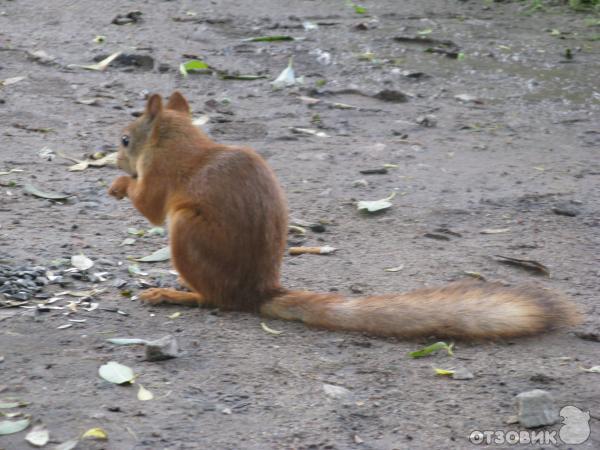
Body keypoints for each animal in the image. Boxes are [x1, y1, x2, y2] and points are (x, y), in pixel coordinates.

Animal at [109, 90, 580, 338]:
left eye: (126, 139)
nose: (115, 159)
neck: (181, 141)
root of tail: (257, 292)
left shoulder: (162, 178)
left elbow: (149, 205)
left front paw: (118, 186)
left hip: (187, 233)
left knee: (214, 299)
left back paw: (174, 294)